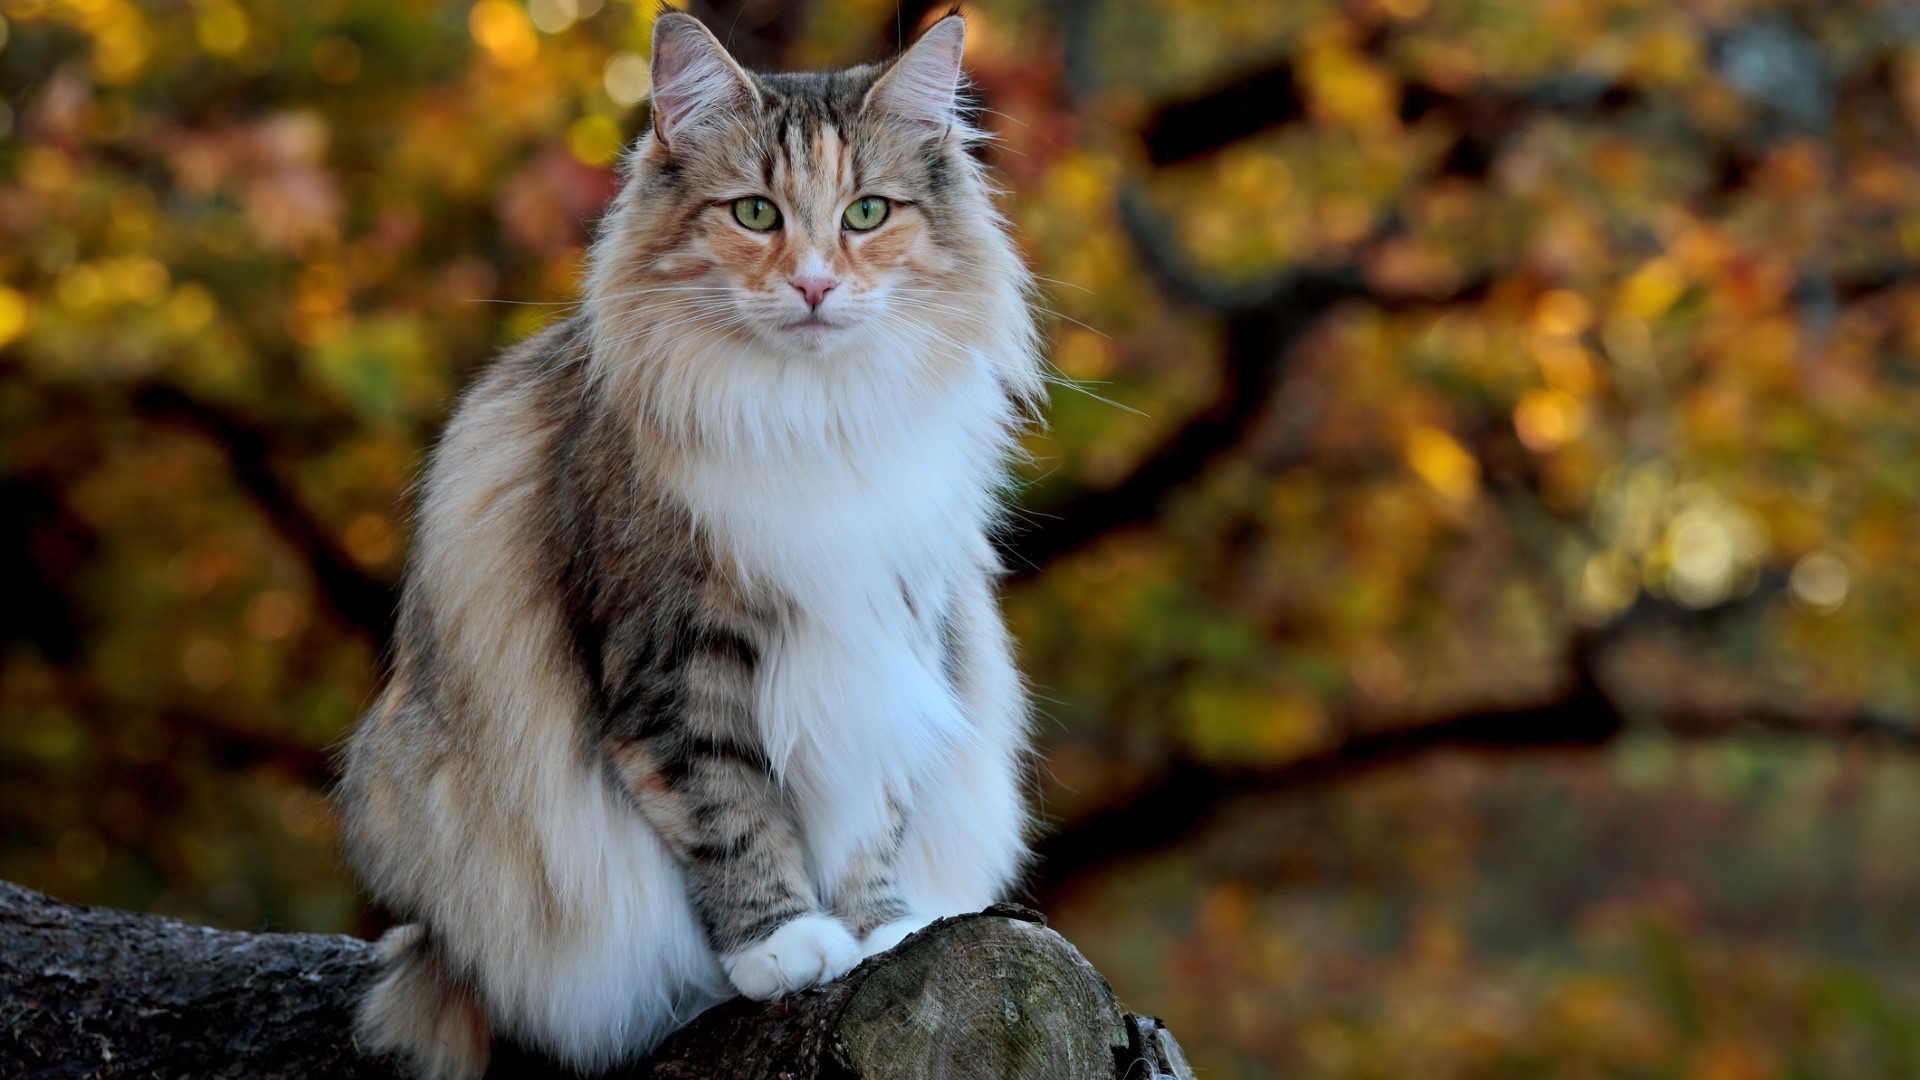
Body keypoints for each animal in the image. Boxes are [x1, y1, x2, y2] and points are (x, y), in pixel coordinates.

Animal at [337, 10, 1044, 1076]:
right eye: (755, 214)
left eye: (867, 213)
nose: (815, 284)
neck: (813, 418)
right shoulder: (674, 653)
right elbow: (729, 808)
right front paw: (784, 946)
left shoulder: (892, 633)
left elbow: (872, 813)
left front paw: (880, 929)